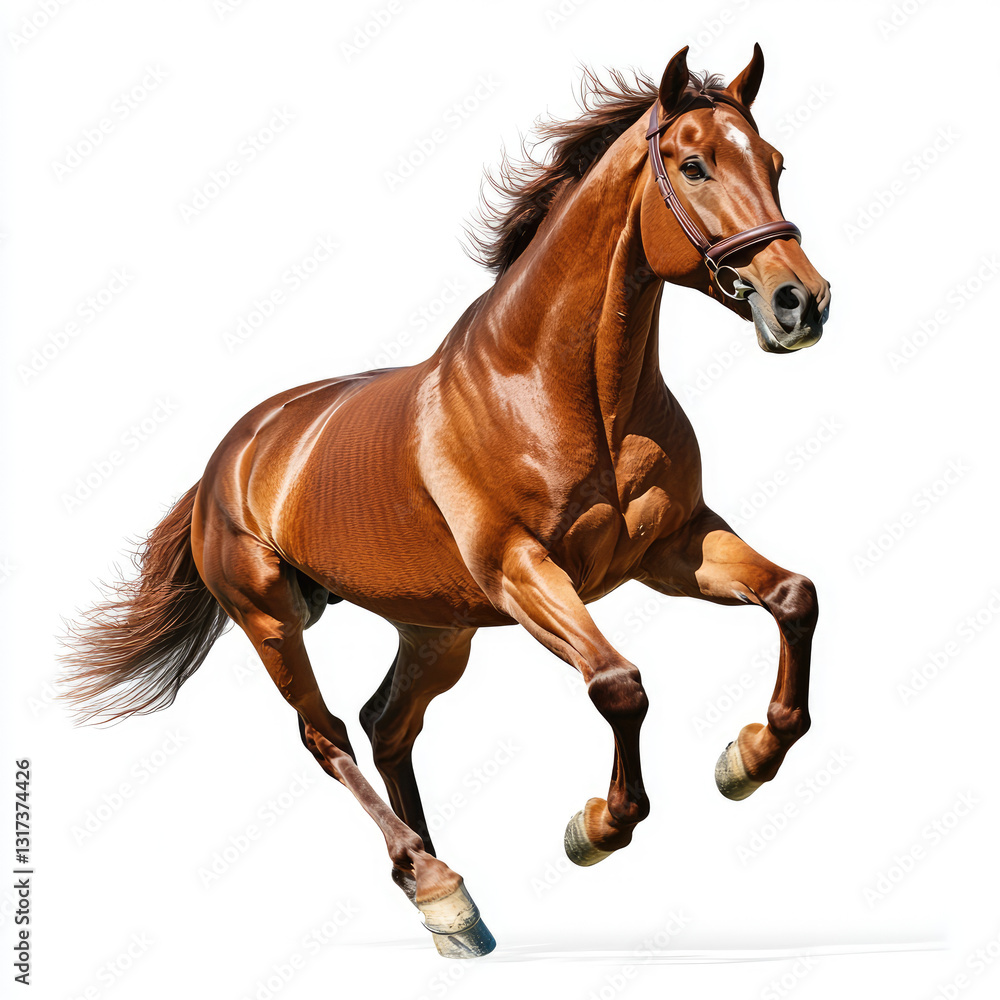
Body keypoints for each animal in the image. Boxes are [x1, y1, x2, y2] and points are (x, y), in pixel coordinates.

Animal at [62, 45, 831, 958]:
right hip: (271, 618)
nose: (802, 302)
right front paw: (597, 828)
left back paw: (451, 899)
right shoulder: (524, 572)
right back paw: (434, 883)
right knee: (327, 733)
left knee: (386, 723)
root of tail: (232, 454)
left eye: (774, 163)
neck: (562, 389)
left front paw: (748, 760)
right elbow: (620, 685)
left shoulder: (673, 549)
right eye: (694, 164)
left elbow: (794, 596)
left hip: (438, 631)